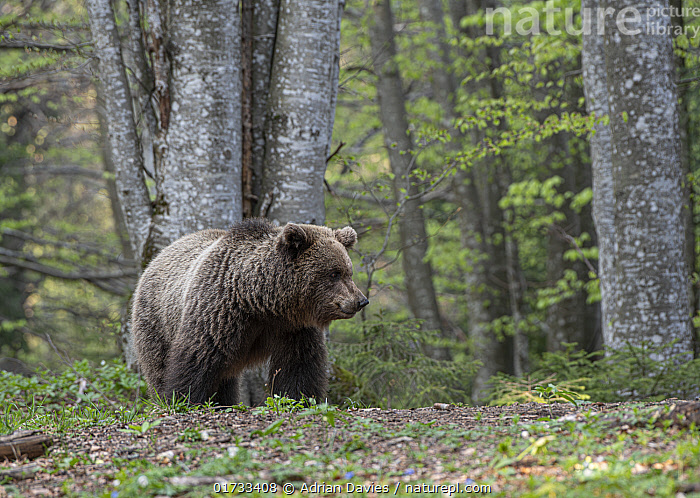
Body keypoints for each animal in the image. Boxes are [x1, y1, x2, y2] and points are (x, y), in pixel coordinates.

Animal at [131, 218, 369, 405]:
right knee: (159, 365)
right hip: (156, 320)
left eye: (348, 271)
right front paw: (183, 398)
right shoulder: (220, 313)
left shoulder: (294, 328)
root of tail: (157, 257)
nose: (361, 301)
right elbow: (197, 357)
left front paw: (298, 399)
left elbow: (299, 366)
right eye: (334, 273)